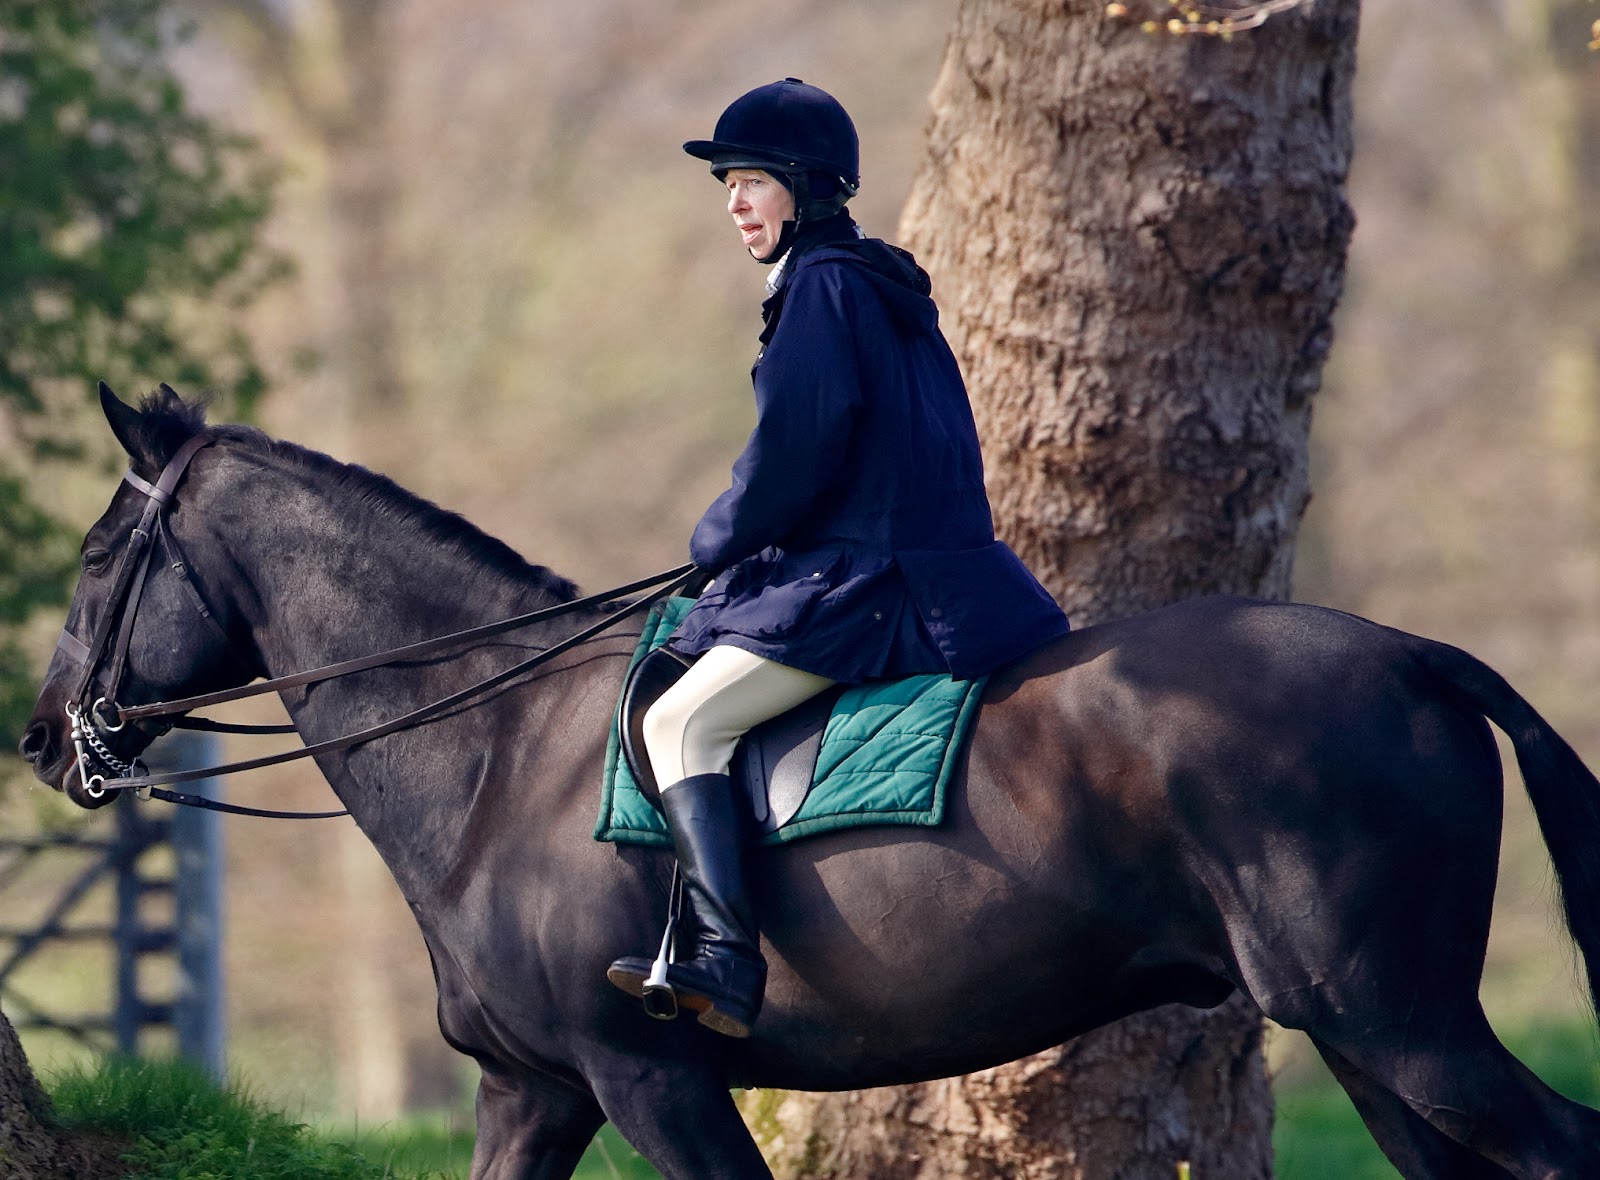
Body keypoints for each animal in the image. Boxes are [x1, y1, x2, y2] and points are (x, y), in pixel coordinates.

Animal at [21, 388, 1600, 1176]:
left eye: (98, 554)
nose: (41, 738)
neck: (493, 753)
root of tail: (1413, 657)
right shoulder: (535, 1093)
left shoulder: (650, 1079)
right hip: (1362, 1035)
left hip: (1396, 1022)